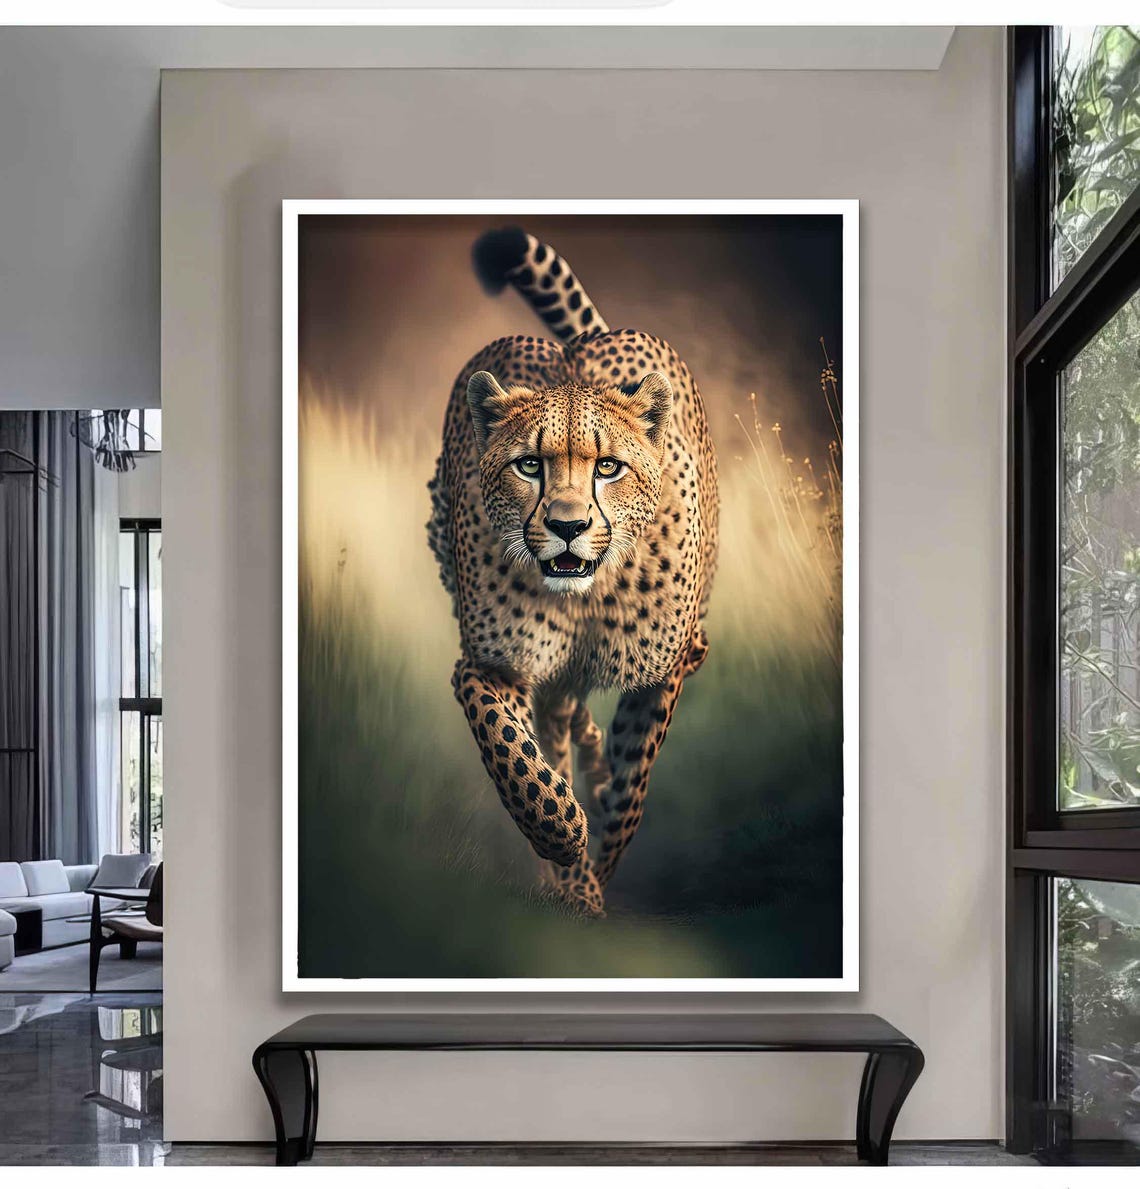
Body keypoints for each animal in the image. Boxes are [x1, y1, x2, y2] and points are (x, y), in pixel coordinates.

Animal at [427, 227, 719, 917]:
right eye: (528, 465)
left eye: (607, 467)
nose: (567, 525)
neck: (584, 595)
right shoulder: (489, 664)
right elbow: (510, 749)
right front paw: (561, 837)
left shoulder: (665, 669)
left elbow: (634, 782)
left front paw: (598, 855)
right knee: (560, 719)